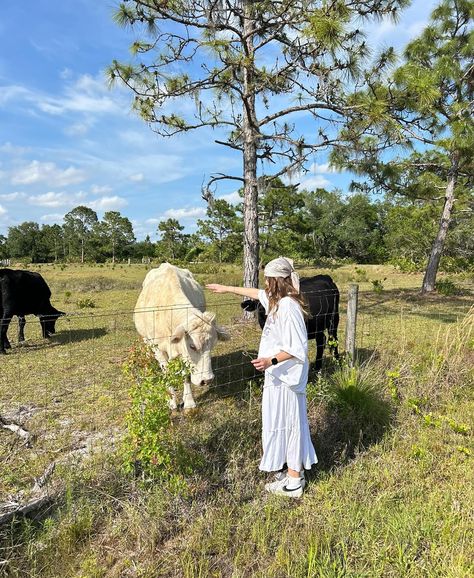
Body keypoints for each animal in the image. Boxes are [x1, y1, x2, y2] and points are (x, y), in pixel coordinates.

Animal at [133, 264, 230, 408]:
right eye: (192, 346)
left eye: (212, 346)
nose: (206, 380)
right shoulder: (159, 349)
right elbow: (167, 372)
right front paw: (172, 401)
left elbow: (185, 374)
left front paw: (189, 401)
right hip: (146, 340)